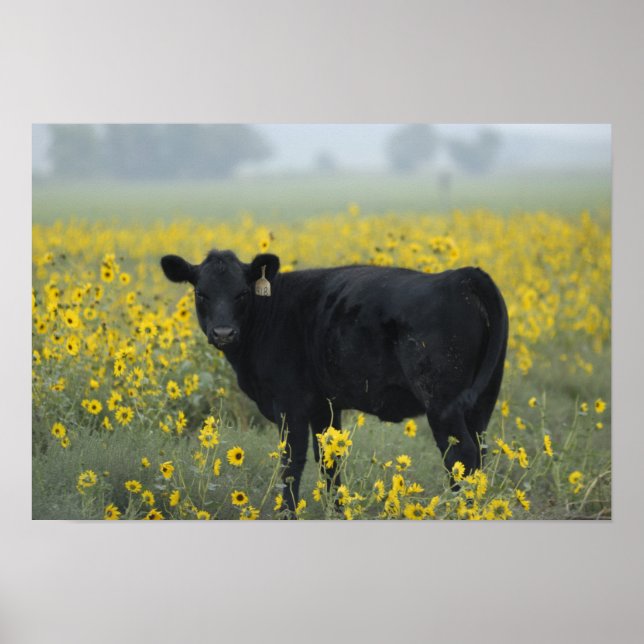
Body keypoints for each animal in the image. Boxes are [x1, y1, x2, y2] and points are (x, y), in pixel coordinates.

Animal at [161, 249, 508, 516]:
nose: (223, 333)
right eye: (200, 293)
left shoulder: (289, 404)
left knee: (461, 457)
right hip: (482, 401)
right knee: (479, 454)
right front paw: (338, 511)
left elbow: (292, 462)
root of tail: (462, 276)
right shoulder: (324, 406)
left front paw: (287, 514)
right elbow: (330, 460)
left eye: (242, 293)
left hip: (442, 403)